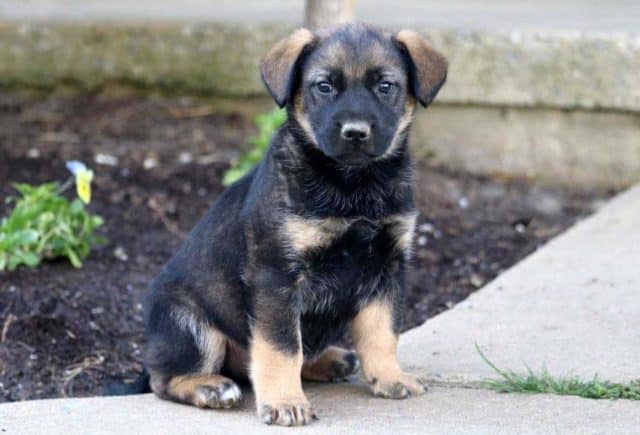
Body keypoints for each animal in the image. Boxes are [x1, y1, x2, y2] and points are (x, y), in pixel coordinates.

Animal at [143, 23, 448, 426]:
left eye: (386, 86)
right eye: (324, 86)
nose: (355, 132)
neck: (352, 185)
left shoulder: (388, 266)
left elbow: (383, 332)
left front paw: (389, 377)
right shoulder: (276, 277)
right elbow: (282, 347)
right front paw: (285, 402)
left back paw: (332, 359)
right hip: (188, 325)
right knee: (163, 379)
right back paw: (210, 387)